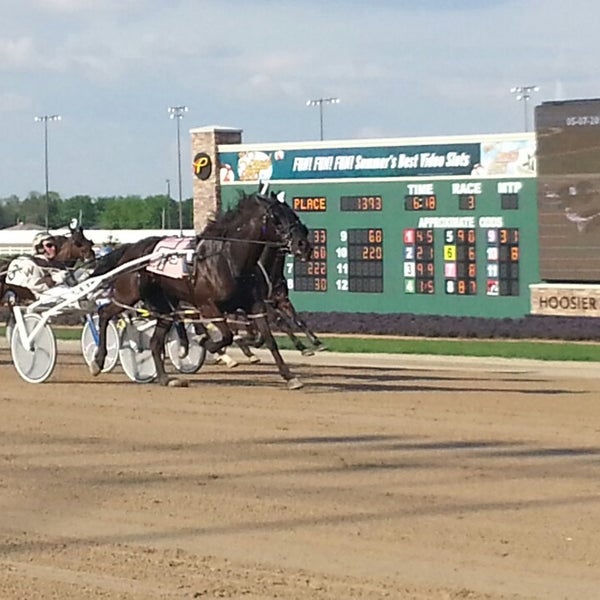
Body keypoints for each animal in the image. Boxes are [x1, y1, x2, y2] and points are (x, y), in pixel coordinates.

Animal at [91, 191, 312, 390]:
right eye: (277, 218)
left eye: (293, 214)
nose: (304, 244)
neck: (228, 259)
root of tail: (131, 248)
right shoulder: (208, 306)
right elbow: (226, 336)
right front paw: (204, 341)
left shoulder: (255, 306)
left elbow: (269, 340)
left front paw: (290, 377)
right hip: (128, 294)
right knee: (104, 314)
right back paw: (98, 361)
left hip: (164, 307)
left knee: (154, 342)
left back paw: (165, 378)